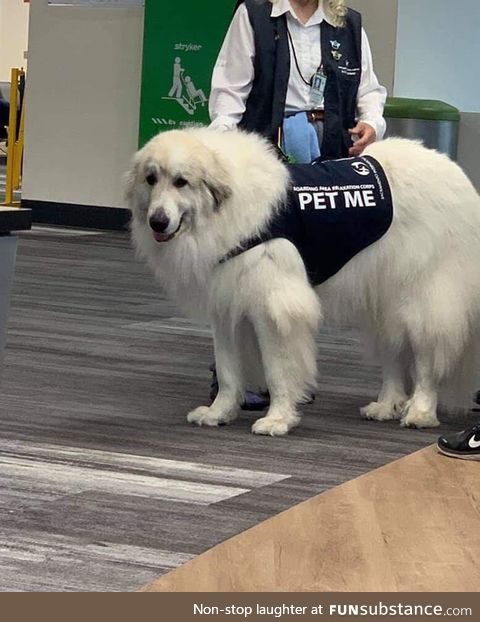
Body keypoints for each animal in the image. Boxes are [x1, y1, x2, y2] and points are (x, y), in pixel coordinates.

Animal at [126, 129, 480, 436]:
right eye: (151, 179)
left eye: (181, 182)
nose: (157, 221)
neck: (228, 208)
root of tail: (455, 173)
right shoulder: (226, 307)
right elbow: (227, 370)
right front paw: (219, 412)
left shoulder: (276, 309)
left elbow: (278, 369)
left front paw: (278, 420)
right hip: (382, 298)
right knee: (393, 352)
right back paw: (386, 405)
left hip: (424, 297)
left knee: (426, 359)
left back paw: (420, 411)